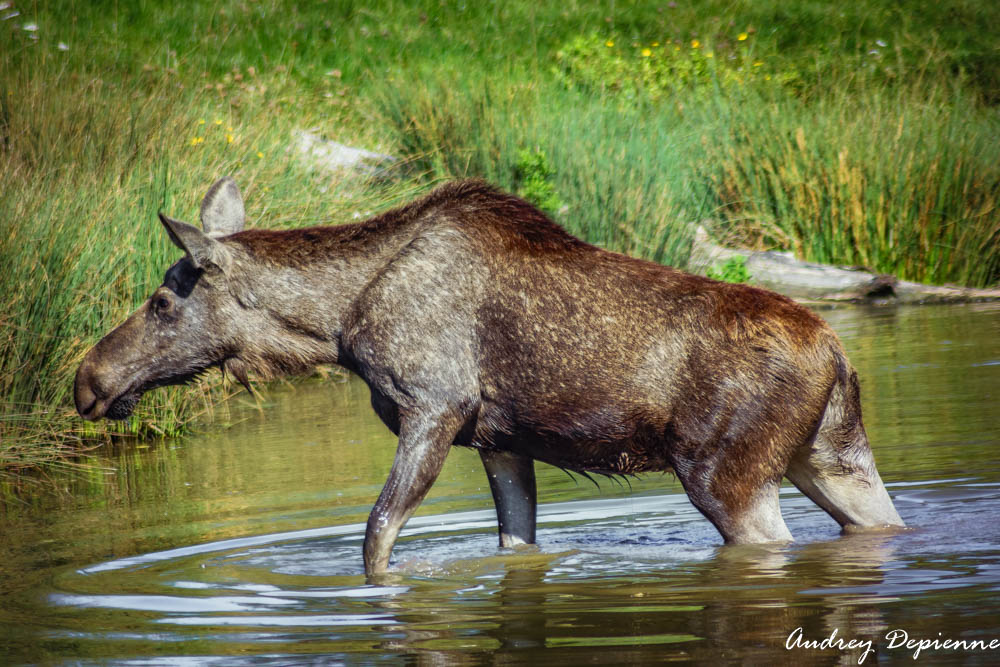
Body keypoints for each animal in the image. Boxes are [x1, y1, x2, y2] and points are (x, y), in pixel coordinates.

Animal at [76, 180, 908, 576]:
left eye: (162, 301)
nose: (88, 377)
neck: (334, 328)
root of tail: (837, 352)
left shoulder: (433, 406)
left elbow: (376, 537)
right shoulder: (501, 439)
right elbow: (515, 544)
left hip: (725, 471)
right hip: (832, 454)